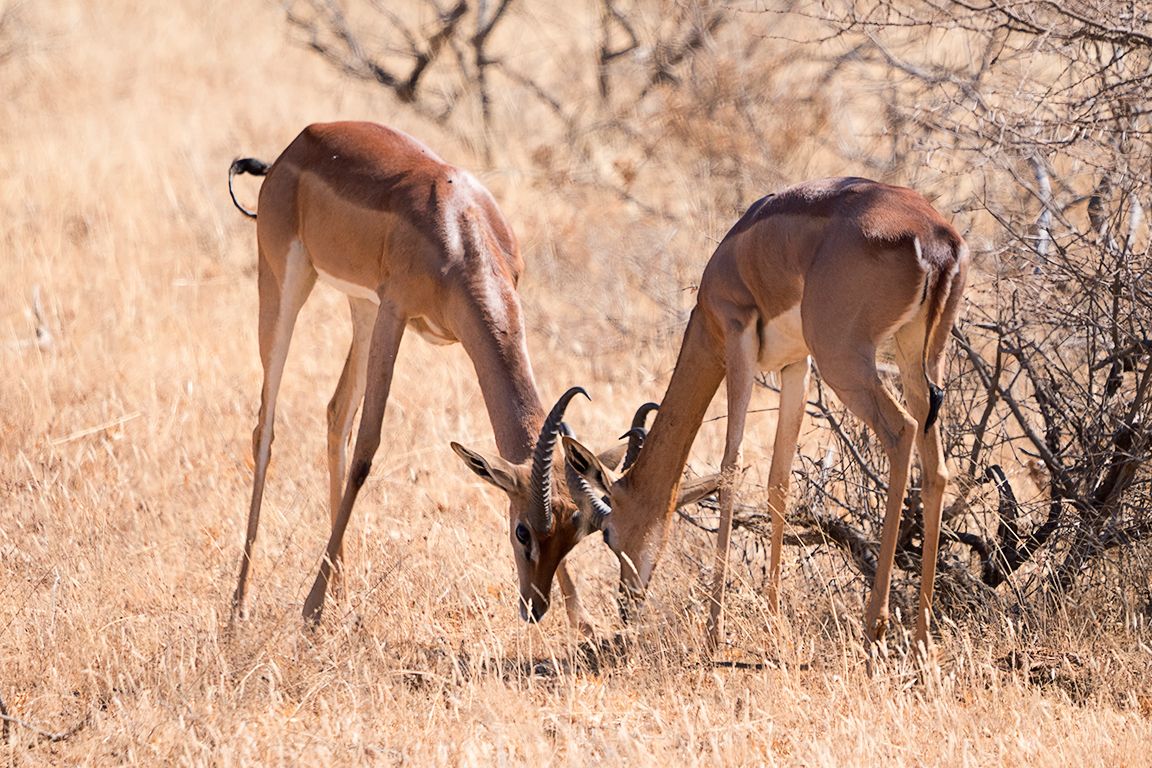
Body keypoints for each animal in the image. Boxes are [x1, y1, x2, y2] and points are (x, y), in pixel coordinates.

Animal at [227, 121, 599, 629]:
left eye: (573, 530)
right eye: (522, 531)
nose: (534, 608)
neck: (460, 231)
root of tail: (296, 145)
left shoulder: (387, 309)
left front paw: (584, 620)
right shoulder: (395, 310)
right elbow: (367, 450)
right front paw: (310, 610)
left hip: (360, 305)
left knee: (336, 415)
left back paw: (341, 593)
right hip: (287, 284)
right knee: (265, 428)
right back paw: (240, 607)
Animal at [562, 177, 969, 652]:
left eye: (607, 532)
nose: (627, 603)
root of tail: (935, 237)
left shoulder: (737, 341)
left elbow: (730, 465)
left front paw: (714, 631)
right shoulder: (796, 365)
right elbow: (779, 480)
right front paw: (773, 616)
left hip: (845, 361)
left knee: (901, 430)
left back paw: (875, 626)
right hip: (920, 357)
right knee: (936, 467)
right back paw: (922, 634)